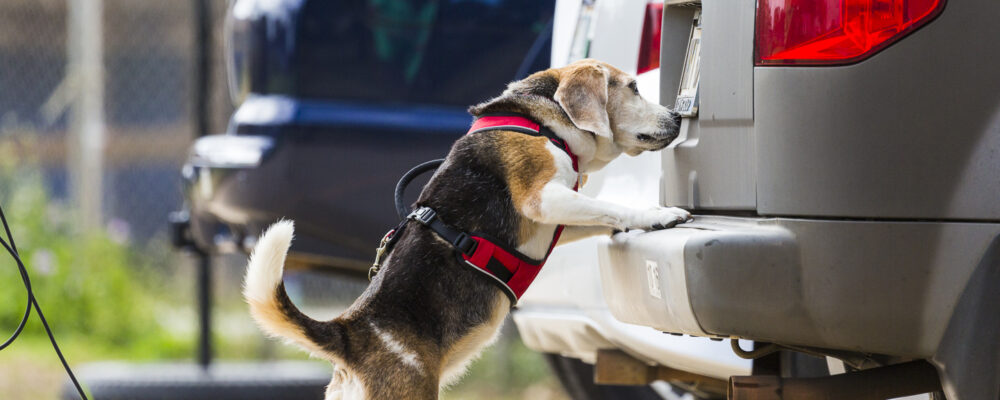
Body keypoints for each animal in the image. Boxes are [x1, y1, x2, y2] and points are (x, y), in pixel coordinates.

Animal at [246, 57, 692, 398]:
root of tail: (349, 333)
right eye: (633, 87)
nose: (677, 117)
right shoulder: (543, 198)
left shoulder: (556, 219)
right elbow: (610, 206)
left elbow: (598, 214)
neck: (540, 119)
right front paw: (657, 214)